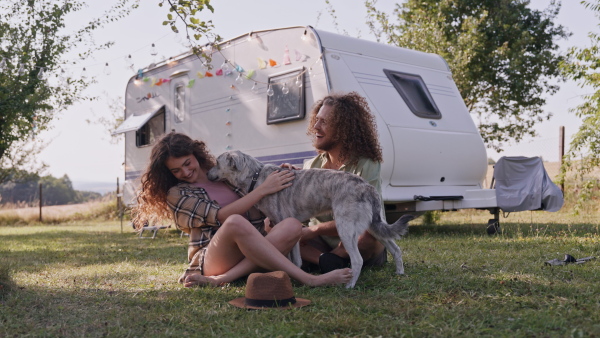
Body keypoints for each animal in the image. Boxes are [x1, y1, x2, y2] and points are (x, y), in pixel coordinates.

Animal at [209, 151, 414, 288]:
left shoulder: (284, 222)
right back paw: (400, 273)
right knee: (396, 249)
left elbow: (292, 260)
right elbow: (295, 261)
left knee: (357, 260)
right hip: (374, 227)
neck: (256, 177)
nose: (209, 175)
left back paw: (349, 285)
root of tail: (368, 188)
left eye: (216, 163)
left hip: (346, 228)